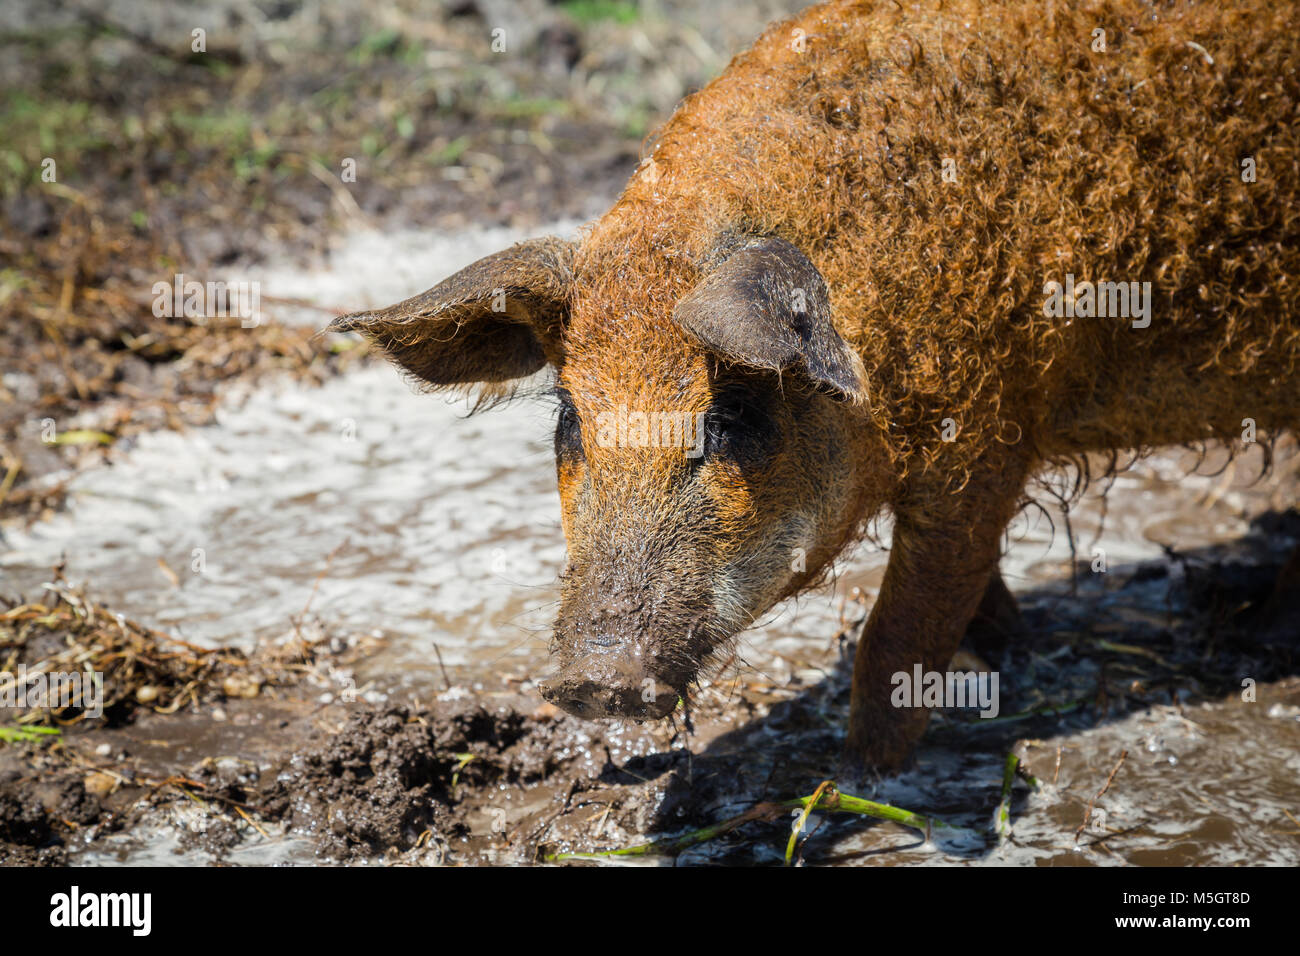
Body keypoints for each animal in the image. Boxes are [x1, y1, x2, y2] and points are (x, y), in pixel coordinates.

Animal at [332, 0, 1300, 770]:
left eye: (728, 416)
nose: (596, 678)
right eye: (570, 417)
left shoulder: (986, 444)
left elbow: (898, 632)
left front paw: (859, 775)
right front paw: (1009, 646)